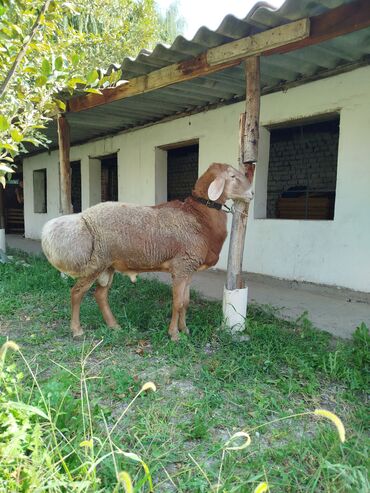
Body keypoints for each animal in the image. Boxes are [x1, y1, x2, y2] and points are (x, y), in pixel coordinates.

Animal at [41, 163, 254, 340]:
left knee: (100, 295)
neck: (200, 217)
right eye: (233, 176)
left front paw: (185, 329)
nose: (251, 194)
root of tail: (83, 218)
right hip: (95, 264)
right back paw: (77, 330)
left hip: (108, 266)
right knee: (76, 293)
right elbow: (177, 303)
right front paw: (174, 335)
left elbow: (186, 302)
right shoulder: (181, 267)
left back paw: (114, 326)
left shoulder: (189, 269)